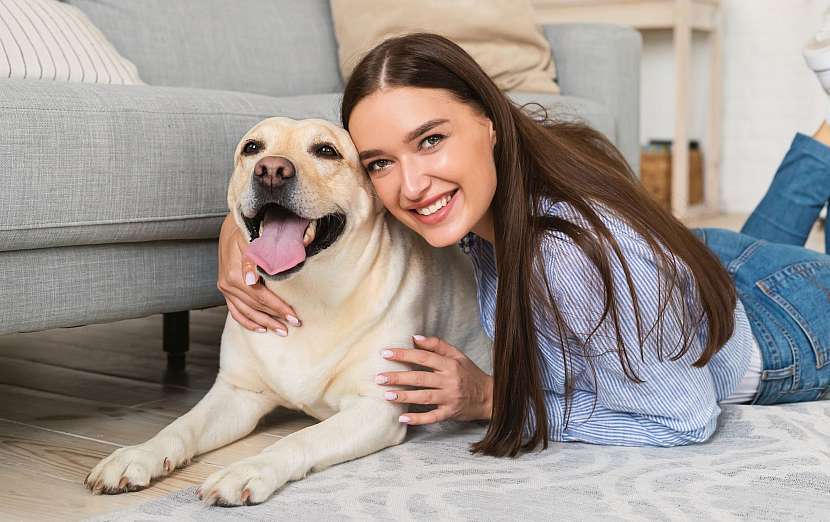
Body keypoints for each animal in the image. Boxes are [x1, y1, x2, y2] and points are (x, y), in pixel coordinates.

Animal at [83, 117, 494, 504]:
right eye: (252, 147)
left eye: (326, 150)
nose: (271, 170)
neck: (310, 295)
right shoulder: (238, 393)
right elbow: (181, 425)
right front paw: (137, 455)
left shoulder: (376, 407)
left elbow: (300, 438)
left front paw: (248, 470)